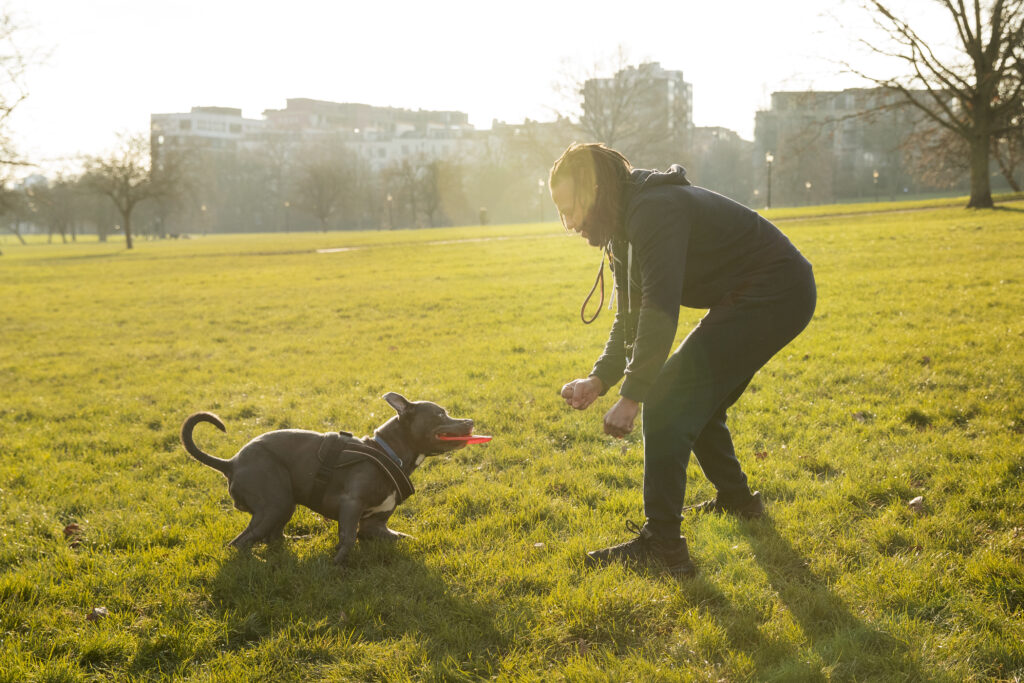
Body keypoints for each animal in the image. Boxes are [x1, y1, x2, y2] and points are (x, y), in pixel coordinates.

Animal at [180, 393, 475, 565]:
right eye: (440, 414)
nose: (470, 421)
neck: (388, 452)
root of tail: (230, 463)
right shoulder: (351, 505)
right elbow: (348, 539)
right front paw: (335, 567)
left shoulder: (376, 526)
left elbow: (404, 537)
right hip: (275, 503)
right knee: (239, 544)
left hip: (284, 505)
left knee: (273, 537)